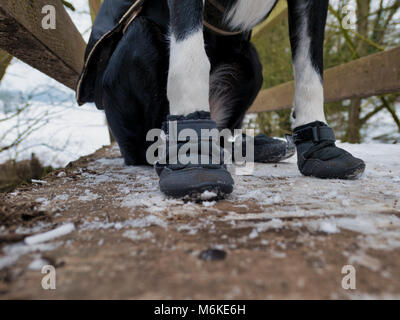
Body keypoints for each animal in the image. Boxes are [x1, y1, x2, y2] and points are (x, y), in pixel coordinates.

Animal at [76, 1, 368, 199]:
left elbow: (310, 67)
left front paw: (319, 146)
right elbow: (189, 55)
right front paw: (192, 150)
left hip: (251, 62)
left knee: (224, 133)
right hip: (139, 37)